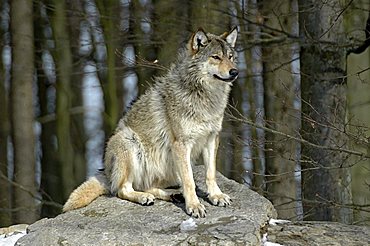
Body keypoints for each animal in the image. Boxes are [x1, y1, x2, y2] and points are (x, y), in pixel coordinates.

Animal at [62, 26, 238, 217]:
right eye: (216, 57)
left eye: (230, 57)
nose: (235, 71)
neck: (205, 97)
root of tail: (106, 174)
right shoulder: (181, 144)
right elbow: (189, 180)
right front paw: (194, 205)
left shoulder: (211, 138)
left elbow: (210, 174)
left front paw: (216, 196)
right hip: (128, 141)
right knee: (122, 189)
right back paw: (144, 197)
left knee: (149, 186)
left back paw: (173, 195)